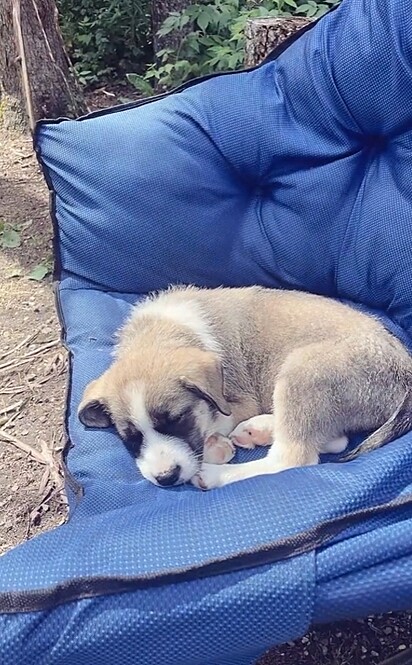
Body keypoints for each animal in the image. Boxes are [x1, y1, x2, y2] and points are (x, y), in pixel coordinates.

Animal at [77, 286, 412, 488]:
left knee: (293, 457)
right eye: (130, 437)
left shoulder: (238, 401)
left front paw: (213, 449)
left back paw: (216, 474)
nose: (167, 478)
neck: (162, 333)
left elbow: (215, 420)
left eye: (179, 419)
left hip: (303, 368)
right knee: (333, 439)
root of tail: (406, 370)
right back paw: (259, 430)